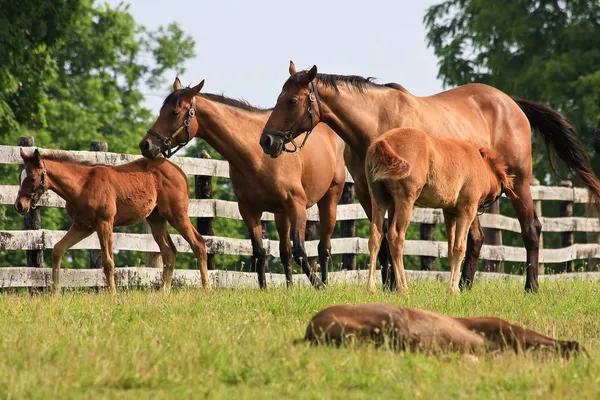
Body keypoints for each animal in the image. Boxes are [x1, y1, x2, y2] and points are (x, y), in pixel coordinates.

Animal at [14, 148, 211, 292]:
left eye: (32, 177)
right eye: (20, 177)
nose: (19, 205)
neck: (82, 185)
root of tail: (180, 172)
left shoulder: (104, 223)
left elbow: (108, 262)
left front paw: (113, 294)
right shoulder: (82, 226)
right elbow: (57, 249)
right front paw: (55, 292)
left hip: (176, 214)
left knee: (198, 243)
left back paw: (206, 288)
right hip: (156, 218)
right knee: (169, 251)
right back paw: (164, 291)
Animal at [139, 77, 344, 288]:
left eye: (175, 112)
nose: (145, 144)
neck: (256, 154)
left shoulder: (297, 205)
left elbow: (300, 251)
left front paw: (319, 286)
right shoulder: (248, 209)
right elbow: (260, 252)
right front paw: (264, 289)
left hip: (330, 199)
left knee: (324, 247)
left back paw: (324, 282)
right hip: (281, 214)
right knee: (285, 250)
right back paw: (290, 288)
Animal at [364, 128, 516, 294]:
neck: (480, 164)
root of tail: (383, 140)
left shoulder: (449, 212)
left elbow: (451, 249)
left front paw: (451, 286)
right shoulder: (467, 210)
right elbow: (459, 248)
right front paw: (453, 289)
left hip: (380, 200)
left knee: (376, 236)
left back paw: (371, 287)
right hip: (406, 201)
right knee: (396, 236)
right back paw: (403, 288)